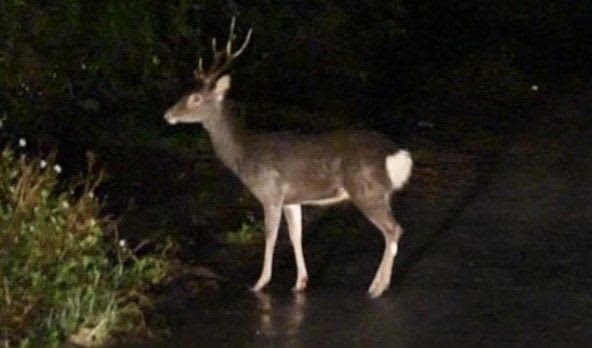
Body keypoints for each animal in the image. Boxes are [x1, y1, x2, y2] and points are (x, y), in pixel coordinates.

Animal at [162, 17, 412, 298]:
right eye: (186, 93)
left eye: (195, 97)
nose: (167, 115)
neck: (245, 153)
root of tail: (397, 155)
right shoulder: (292, 199)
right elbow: (295, 235)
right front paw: (300, 281)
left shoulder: (270, 192)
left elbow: (270, 236)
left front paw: (260, 282)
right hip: (381, 193)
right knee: (392, 231)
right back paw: (378, 283)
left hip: (366, 191)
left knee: (393, 230)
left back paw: (377, 287)